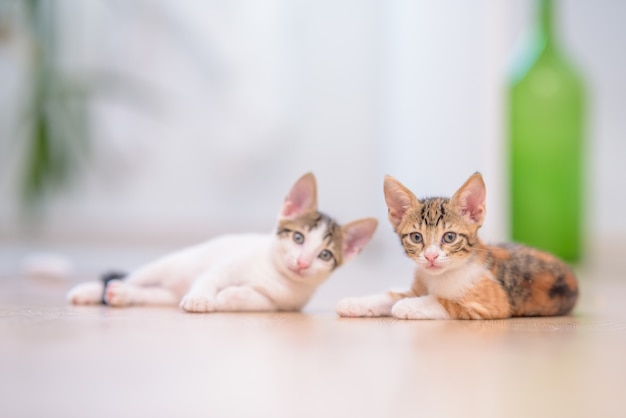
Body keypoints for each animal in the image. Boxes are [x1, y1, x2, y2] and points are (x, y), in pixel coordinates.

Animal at [67, 171, 376, 312]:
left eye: (324, 255)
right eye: (298, 237)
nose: (301, 263)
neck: (274, 275)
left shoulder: (287, 304)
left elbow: (260, 301)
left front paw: (231, 296)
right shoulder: (225, 267)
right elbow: (211, 278)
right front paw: (203, 298)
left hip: (167, 294)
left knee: (149, 294)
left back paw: (121, 295)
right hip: (168, 265)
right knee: (132, 276)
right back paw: (89, 291)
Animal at [336, 173, 576, 320]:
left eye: (449, 237)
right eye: (416, 237)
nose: (431, 257)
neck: (441, 276)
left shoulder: (493, 304)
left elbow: (444, 301)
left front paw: (409, 305)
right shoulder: (417, 286)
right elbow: (392, 295)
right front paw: (355, 303)